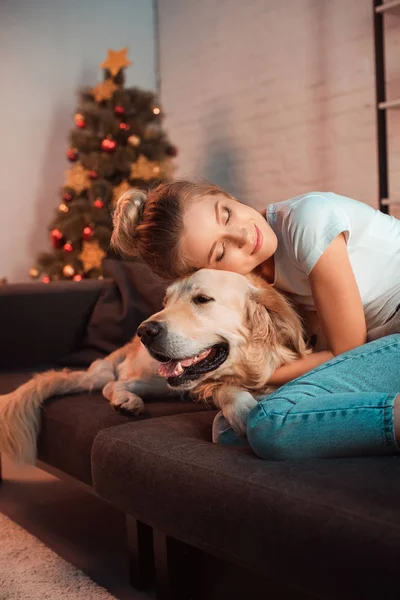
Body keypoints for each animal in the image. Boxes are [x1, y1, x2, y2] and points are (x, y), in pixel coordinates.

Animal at [0, 270, 306, 464]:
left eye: (202, 299)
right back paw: (126, 400)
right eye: (166, 301)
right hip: (157, 379)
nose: (144, 331)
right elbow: (224, 388)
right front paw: (242, 409)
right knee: (113, 383)